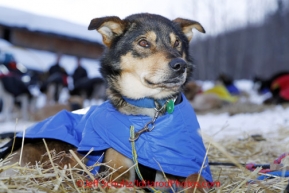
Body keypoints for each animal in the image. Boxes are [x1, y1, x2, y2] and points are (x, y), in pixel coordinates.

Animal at [1, 13, 212, 191]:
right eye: (143, 42)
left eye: (177, 43)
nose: (180, 65)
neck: (151, 110)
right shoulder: (117, 171)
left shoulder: (183, 166)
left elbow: (196, 177)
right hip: (71, 156)